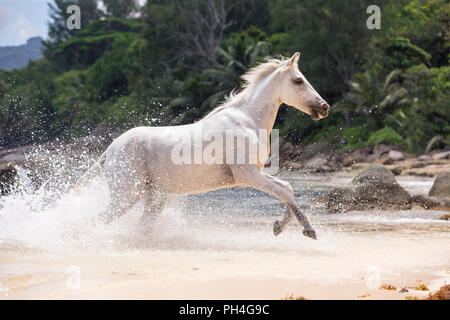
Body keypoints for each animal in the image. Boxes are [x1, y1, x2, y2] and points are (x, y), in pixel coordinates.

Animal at [74, 52, 330, 239]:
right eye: (298, 80)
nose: (324, 107)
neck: (247, 121)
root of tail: (111, 149)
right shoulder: (247, 175)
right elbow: (283, 192)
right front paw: (308, 230)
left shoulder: (255, 173)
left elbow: (288, 189)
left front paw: (279, 226)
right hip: (126, 196)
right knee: (98, 221)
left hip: (154, 197)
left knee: (142, 225)